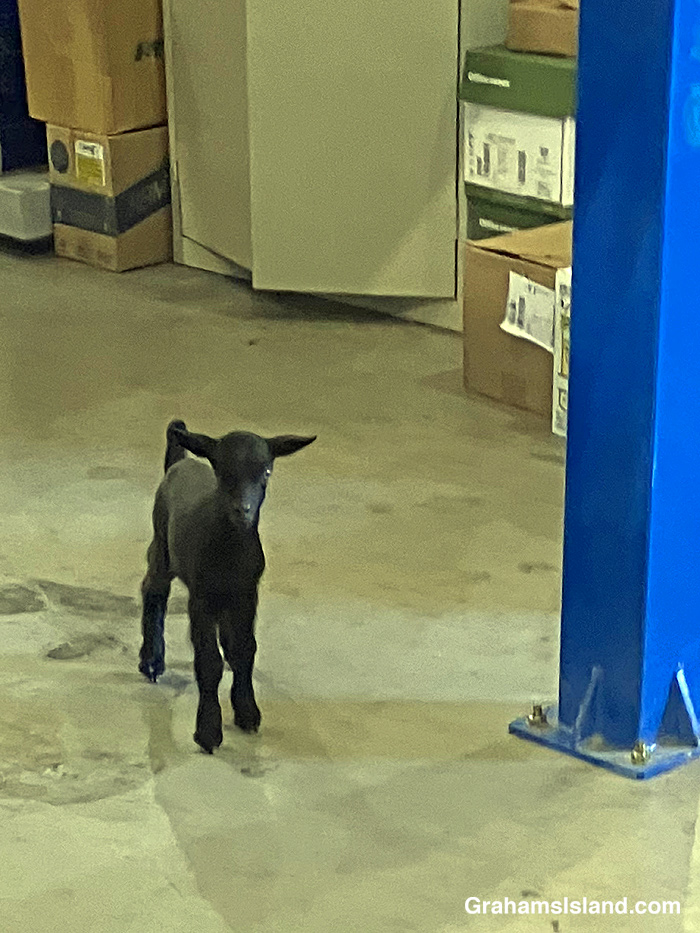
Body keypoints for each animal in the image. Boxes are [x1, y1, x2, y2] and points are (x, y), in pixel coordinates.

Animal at [138, 420, 316, 753]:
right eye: (221, 469)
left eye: (267, 471)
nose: (241, 509)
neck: (229, 547)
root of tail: (180, 462)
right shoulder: (201, 598)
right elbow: (209, 662)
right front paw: (208, 731)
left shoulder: (247, 593)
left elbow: (245, 649)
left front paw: (247, 712)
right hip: (162, 544)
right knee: (153, 590)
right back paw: (152, 660)